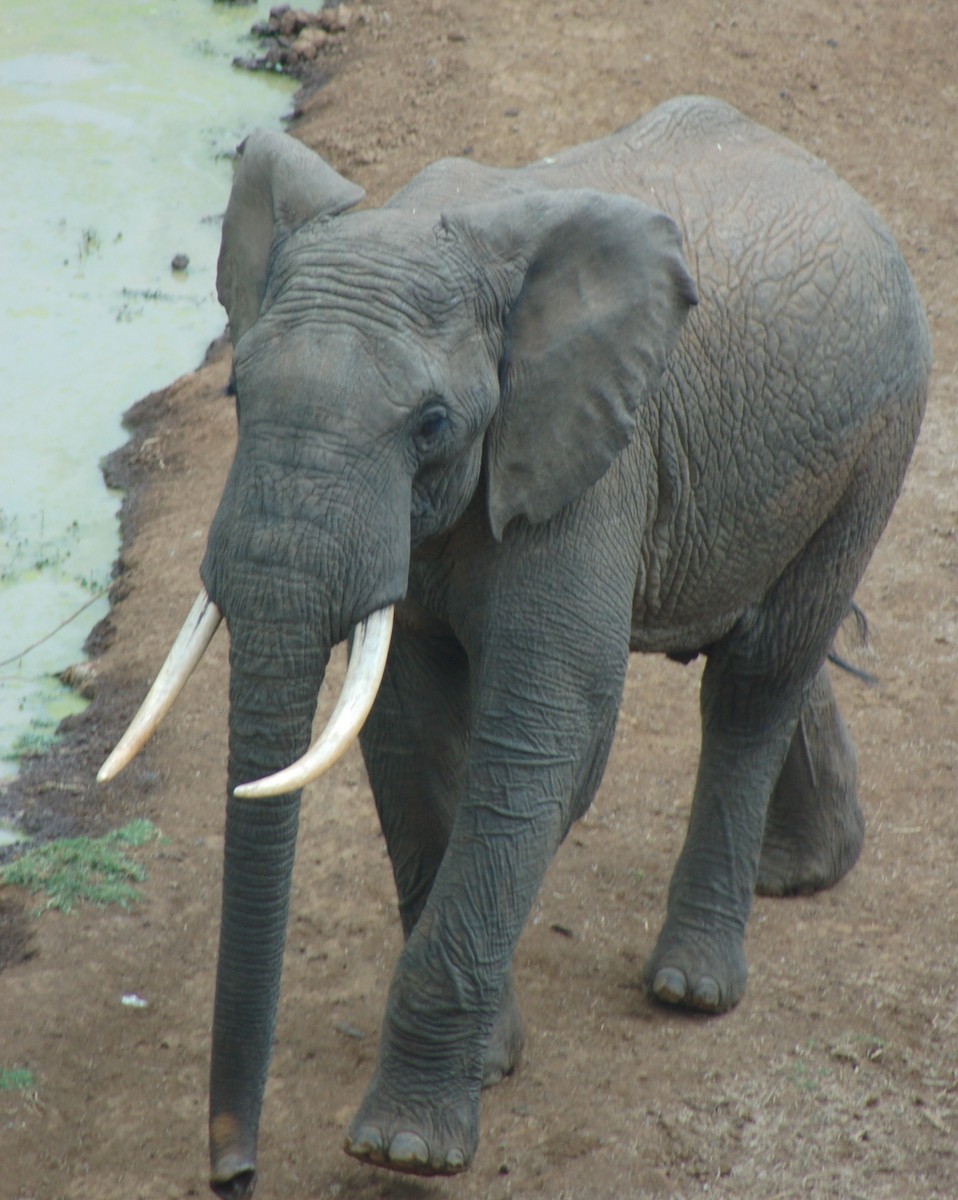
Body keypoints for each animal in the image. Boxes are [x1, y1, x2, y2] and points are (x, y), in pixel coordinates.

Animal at [99, 95, 930, 1195]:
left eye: (432, 424)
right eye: (235, 394)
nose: (234, 1173)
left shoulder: (590, 461)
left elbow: (540, 742)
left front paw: (403, 1145)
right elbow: (408, 735)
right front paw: (489, 1061)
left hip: (884, 421)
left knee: (758, 676)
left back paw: (693, 983)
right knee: (762, 637)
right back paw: (801, 872)